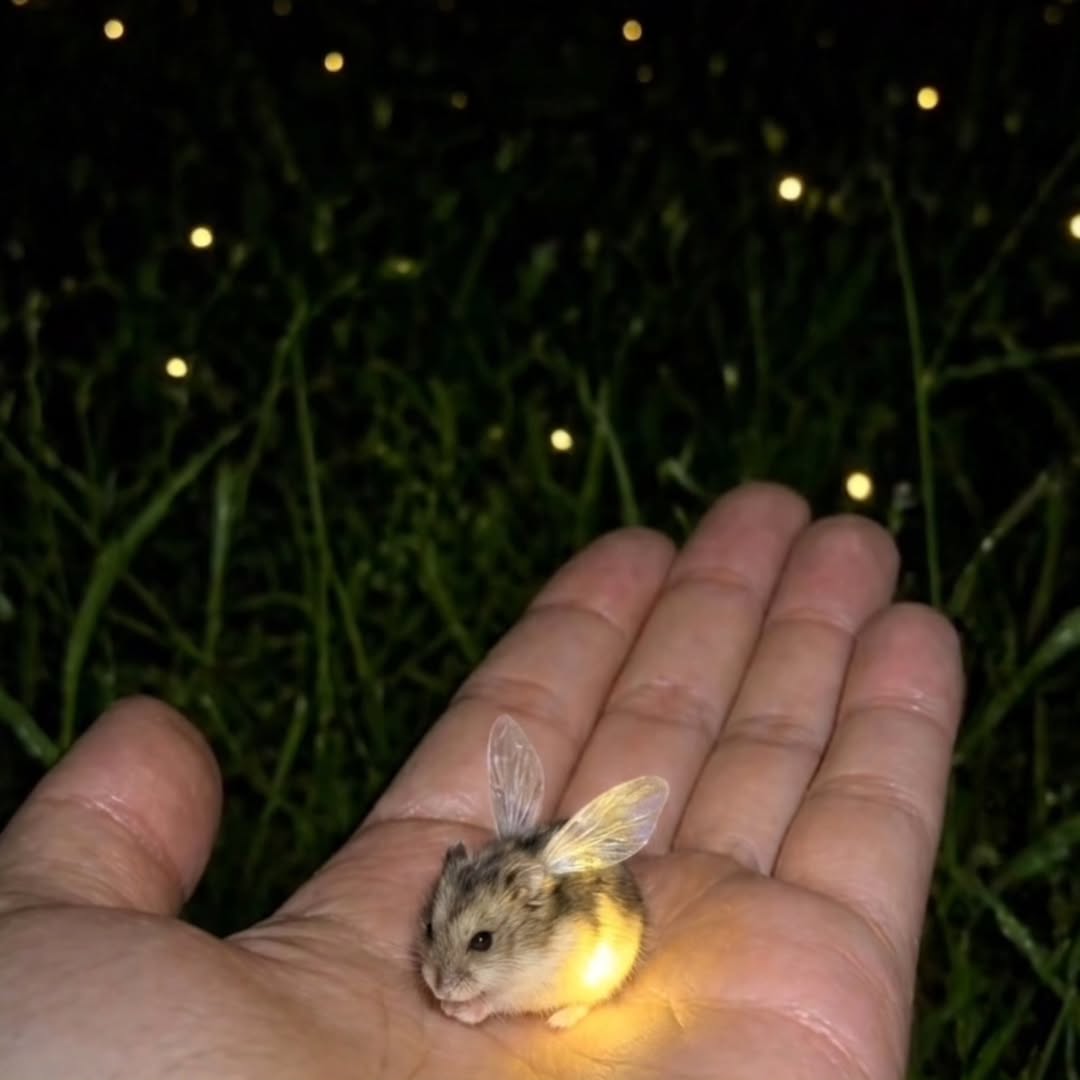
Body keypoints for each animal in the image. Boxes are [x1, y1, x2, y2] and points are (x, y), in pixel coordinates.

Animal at [417, 714, 669, 1030]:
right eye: (428, 928)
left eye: (482, 941)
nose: (438, 989)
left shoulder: (530, 987)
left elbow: (494, 1001)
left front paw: (454, 1010)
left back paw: (559, 1021)